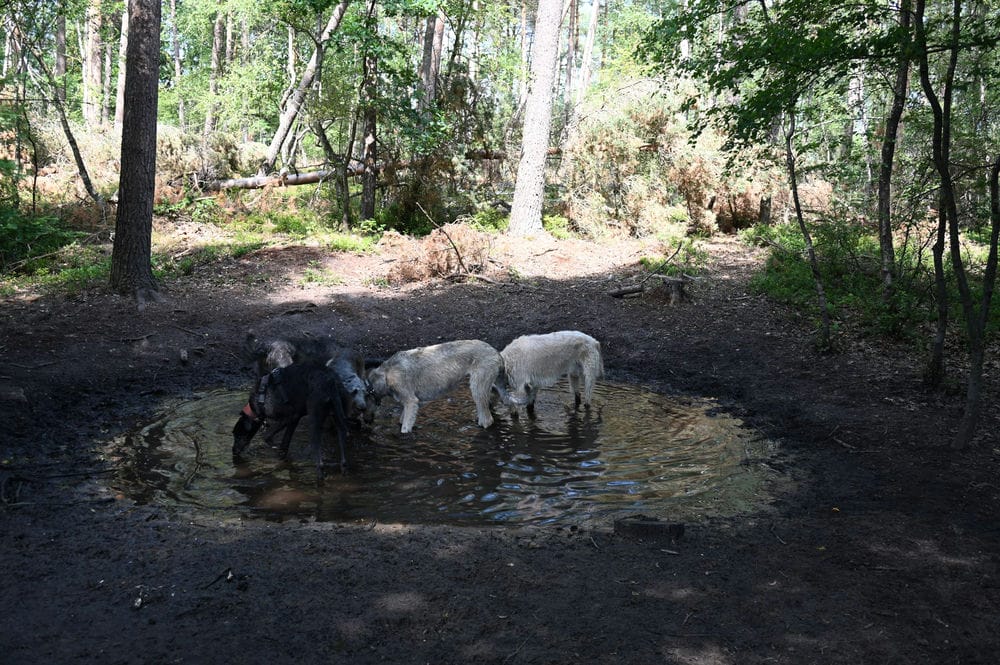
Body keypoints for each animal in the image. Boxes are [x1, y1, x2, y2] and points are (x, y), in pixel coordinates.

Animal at [366, 339, 503, 434]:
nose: (368, 422)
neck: (386, 373)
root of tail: (496, 352)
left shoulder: (410, 399)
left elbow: (405, 425)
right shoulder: (415, 402)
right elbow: (402, 418)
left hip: (478, 386)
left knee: (487, 419)